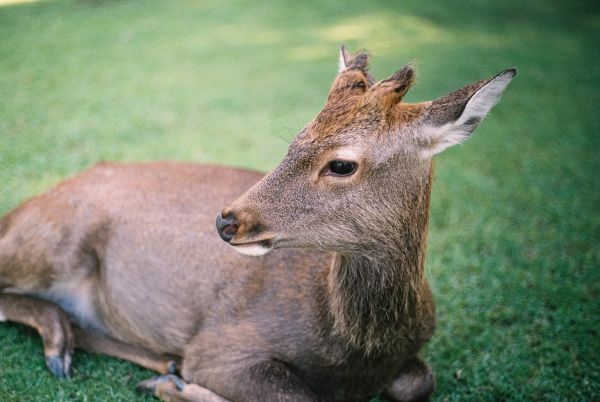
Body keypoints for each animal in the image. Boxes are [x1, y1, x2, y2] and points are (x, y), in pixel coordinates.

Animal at [0, 48, 516, 402]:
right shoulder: (221, 346)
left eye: (341, 164)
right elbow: (296, 395)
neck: (356, 352)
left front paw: (170, 379)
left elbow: (420, 381)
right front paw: (176, 387)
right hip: (51, 241)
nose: (226, 220)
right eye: (294, 140)